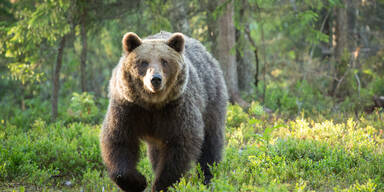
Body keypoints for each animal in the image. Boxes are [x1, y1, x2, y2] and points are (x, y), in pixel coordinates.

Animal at [101, 30, 228, 191]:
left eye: (164, 61)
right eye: (144, 62)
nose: (155, 79)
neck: (152, 104)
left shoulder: (176, 109)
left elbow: (180, 145)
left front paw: (161, 184)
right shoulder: (128, 108)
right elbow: (119, 140)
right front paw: (138, 181)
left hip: (211, 98)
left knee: (211, 142)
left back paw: (208, 177)